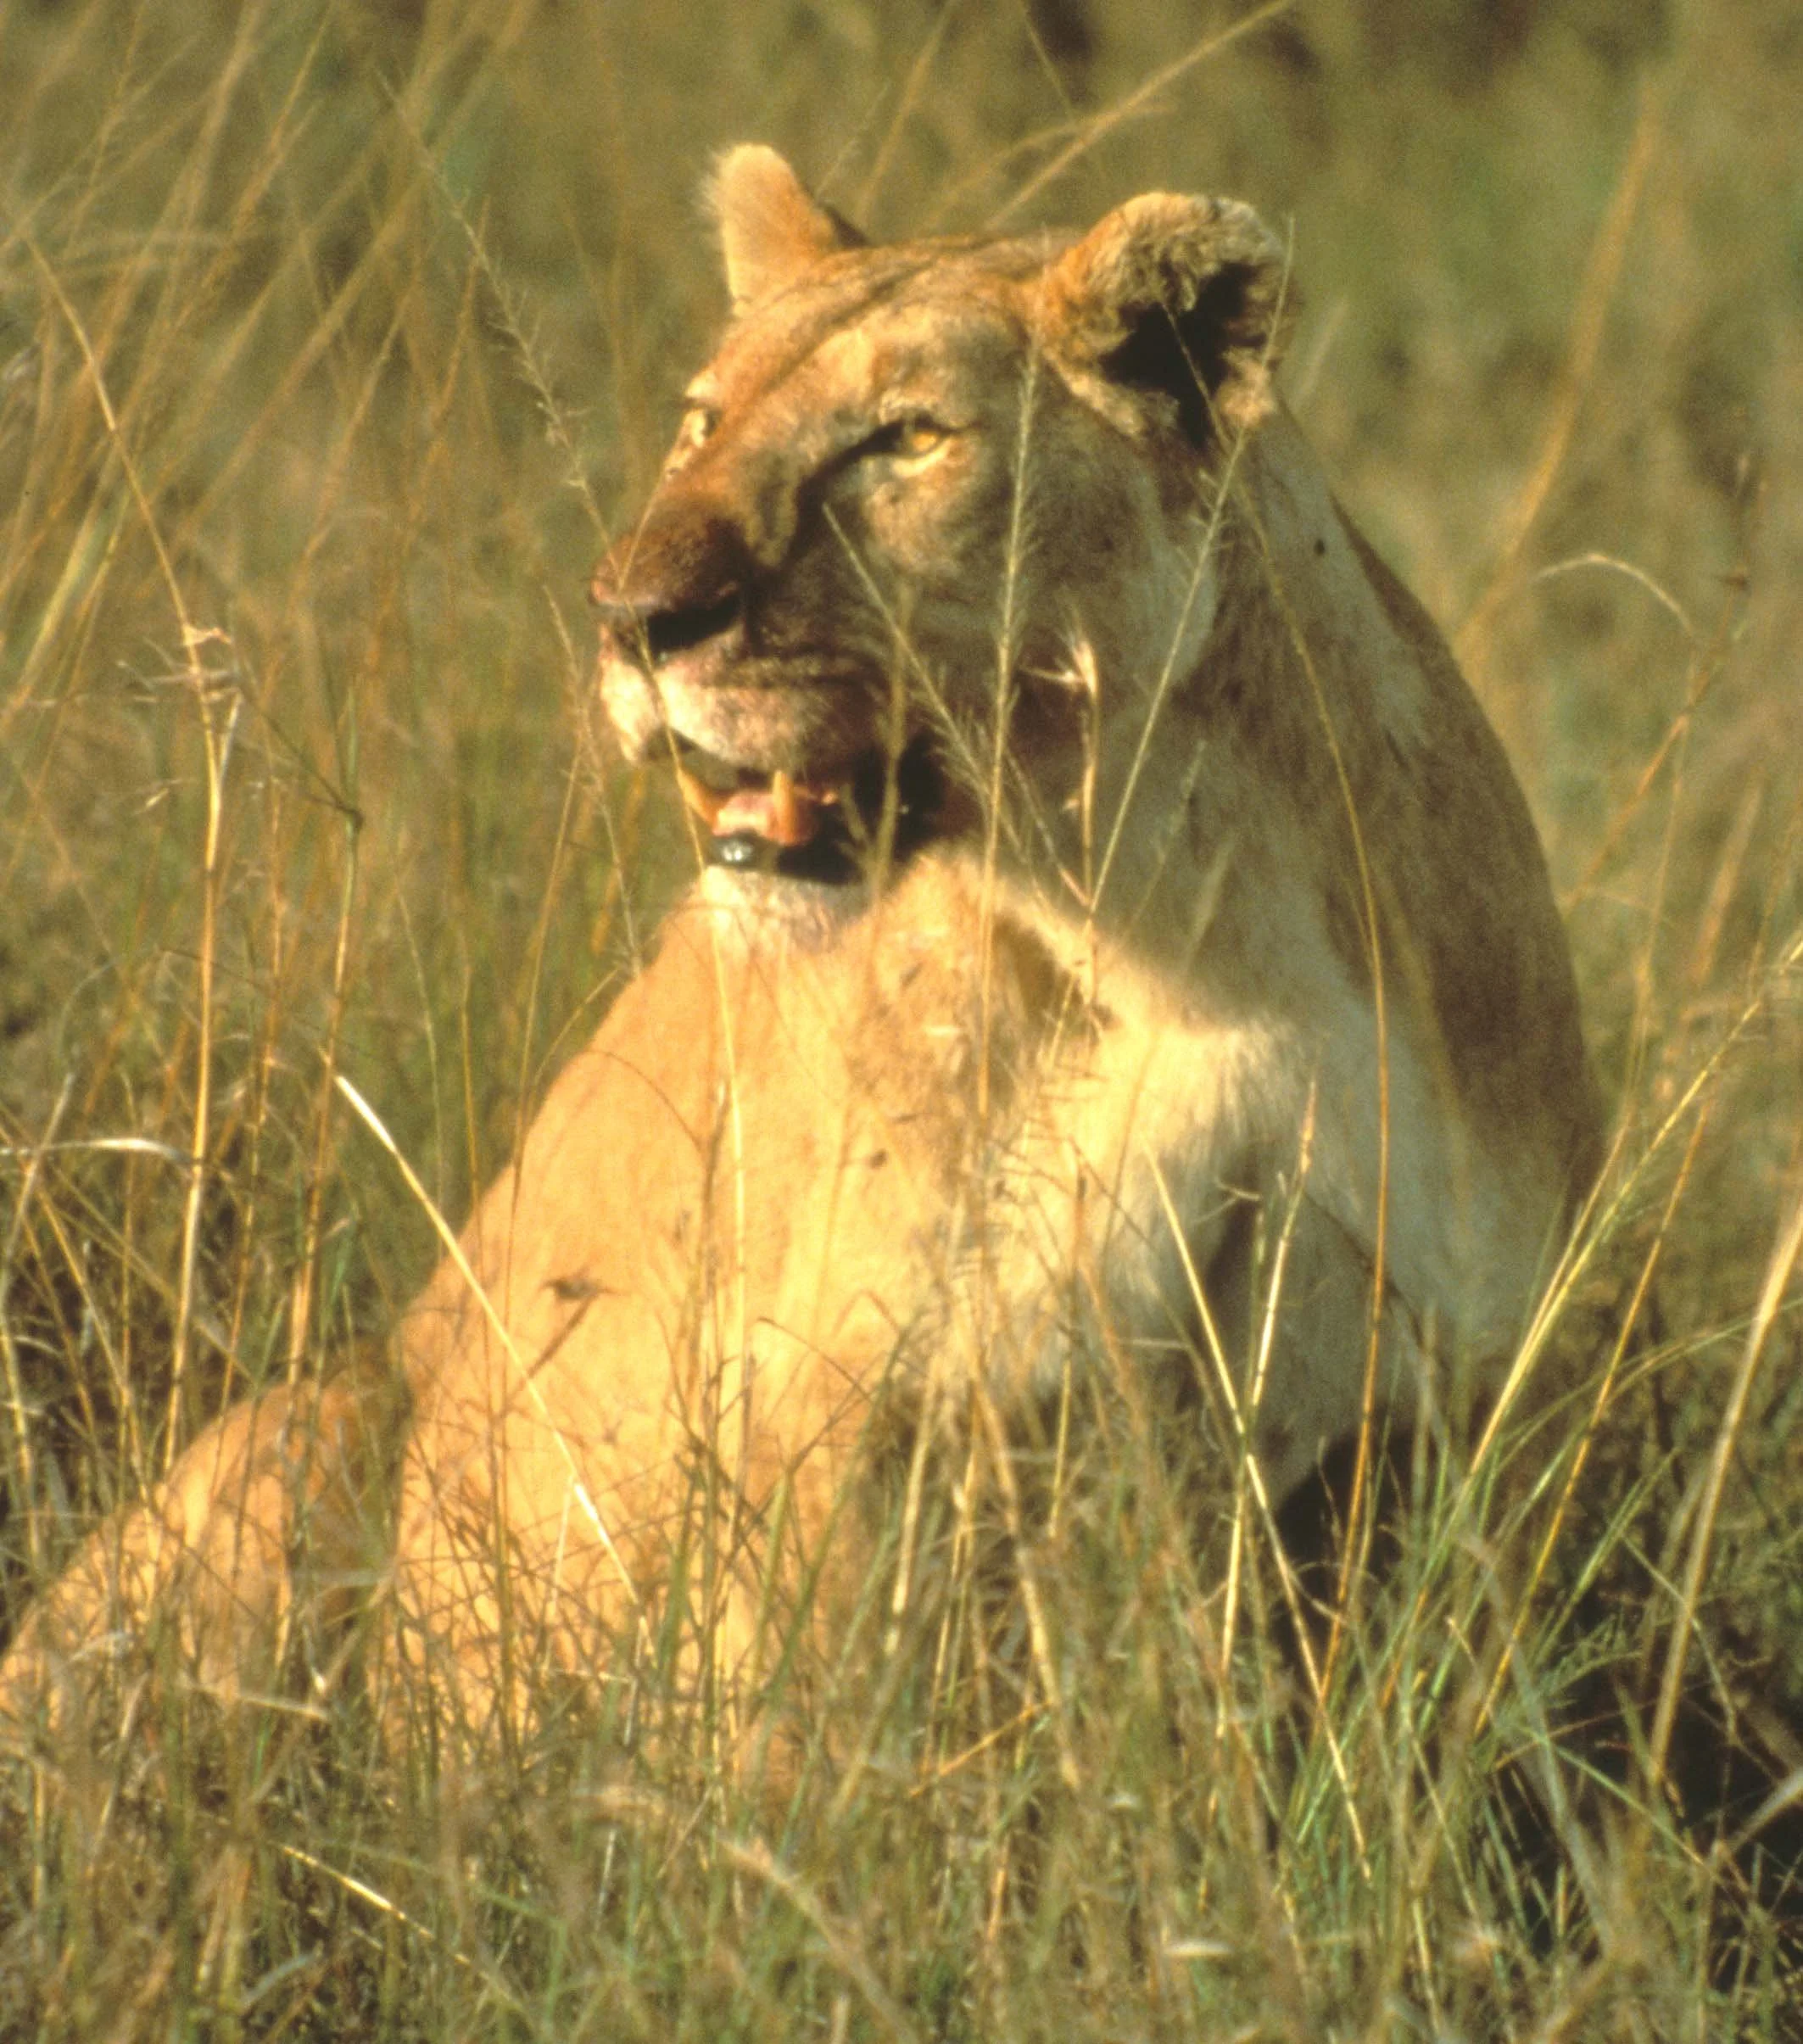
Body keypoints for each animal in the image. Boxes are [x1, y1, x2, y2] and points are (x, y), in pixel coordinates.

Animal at [2, 147, 1599, 1758]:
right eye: (702, 421)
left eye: (906, 439)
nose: (630, 618)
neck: (1186, 918)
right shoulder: (829, 1408)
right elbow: (811, 1747)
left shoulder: (1443, 1413)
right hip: (310, 1424)